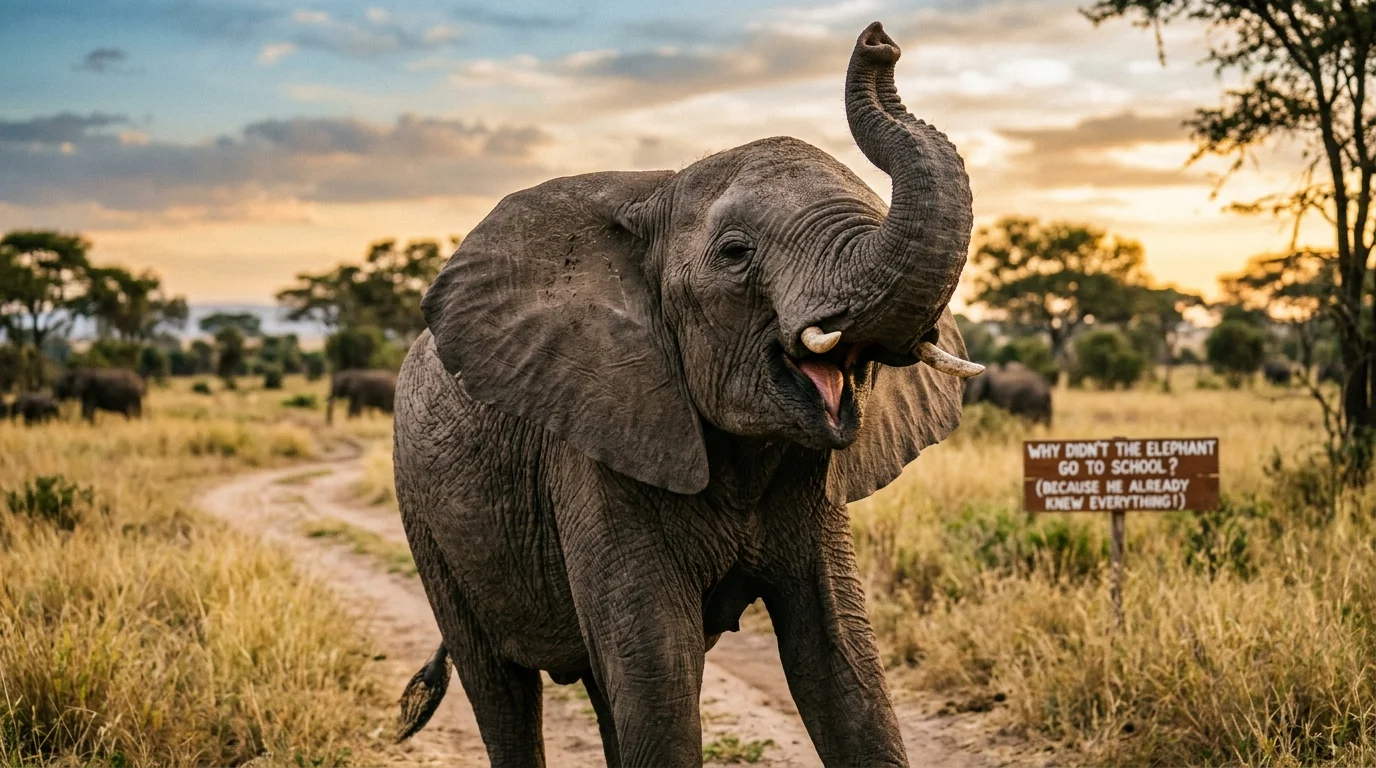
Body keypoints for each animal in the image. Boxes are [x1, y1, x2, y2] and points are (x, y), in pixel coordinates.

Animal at [391, 23, 983, 768]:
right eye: (735, 254)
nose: (879, 41)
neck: (656, 194)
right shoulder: (599, 441)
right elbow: (659, 678)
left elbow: (844, 665)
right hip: (425, 518)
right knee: (501, 690)